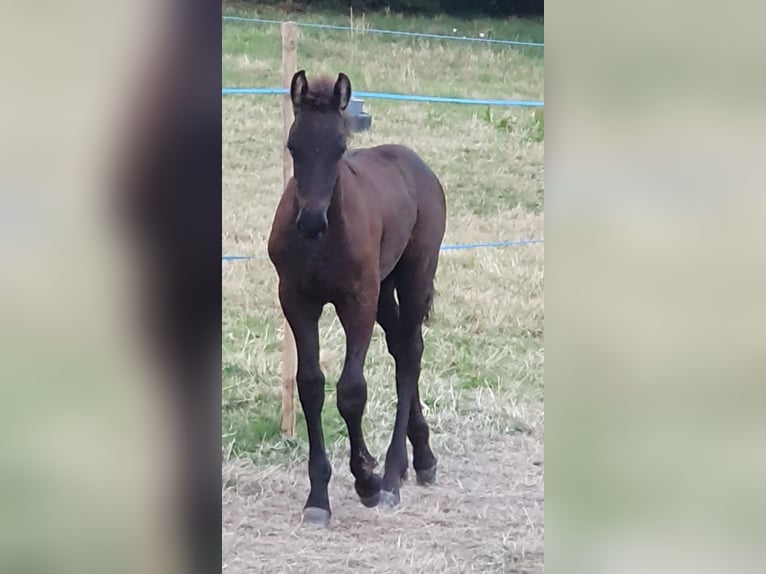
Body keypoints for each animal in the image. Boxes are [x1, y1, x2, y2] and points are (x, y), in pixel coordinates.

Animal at [267, 70, 447, 527]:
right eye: (293, 145)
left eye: (340, 147)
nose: (312, 221)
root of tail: (417, 164)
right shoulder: (297, 301)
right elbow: (310, 385)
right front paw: (318, 496)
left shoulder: (357, 302)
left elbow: (351, 391)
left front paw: (366, 478)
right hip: (384, 289)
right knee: (401, 346)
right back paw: (420, 457)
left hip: (413, 276)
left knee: (411, 352)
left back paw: (394, 474)